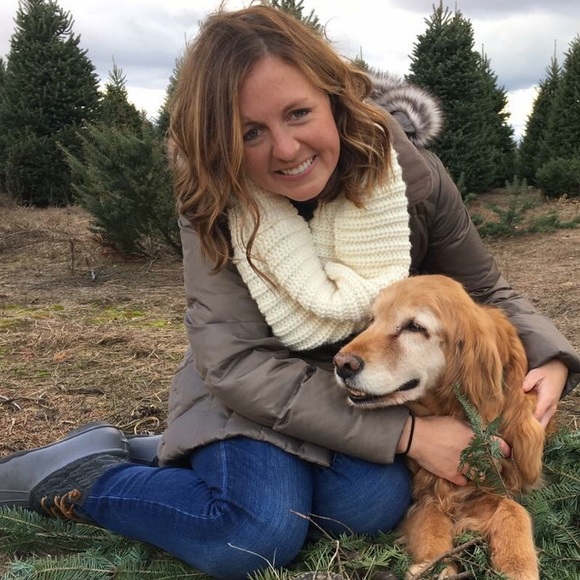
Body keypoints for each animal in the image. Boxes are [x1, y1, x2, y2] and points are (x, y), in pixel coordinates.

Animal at [333, 274, 549, 580]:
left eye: (415, 327)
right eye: (372, 320)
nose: (341, 364)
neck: (456, 407)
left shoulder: (497, 481)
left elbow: (514, 509)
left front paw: (517, 566)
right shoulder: (425, 492)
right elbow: (431, 525)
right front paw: (434, 566)